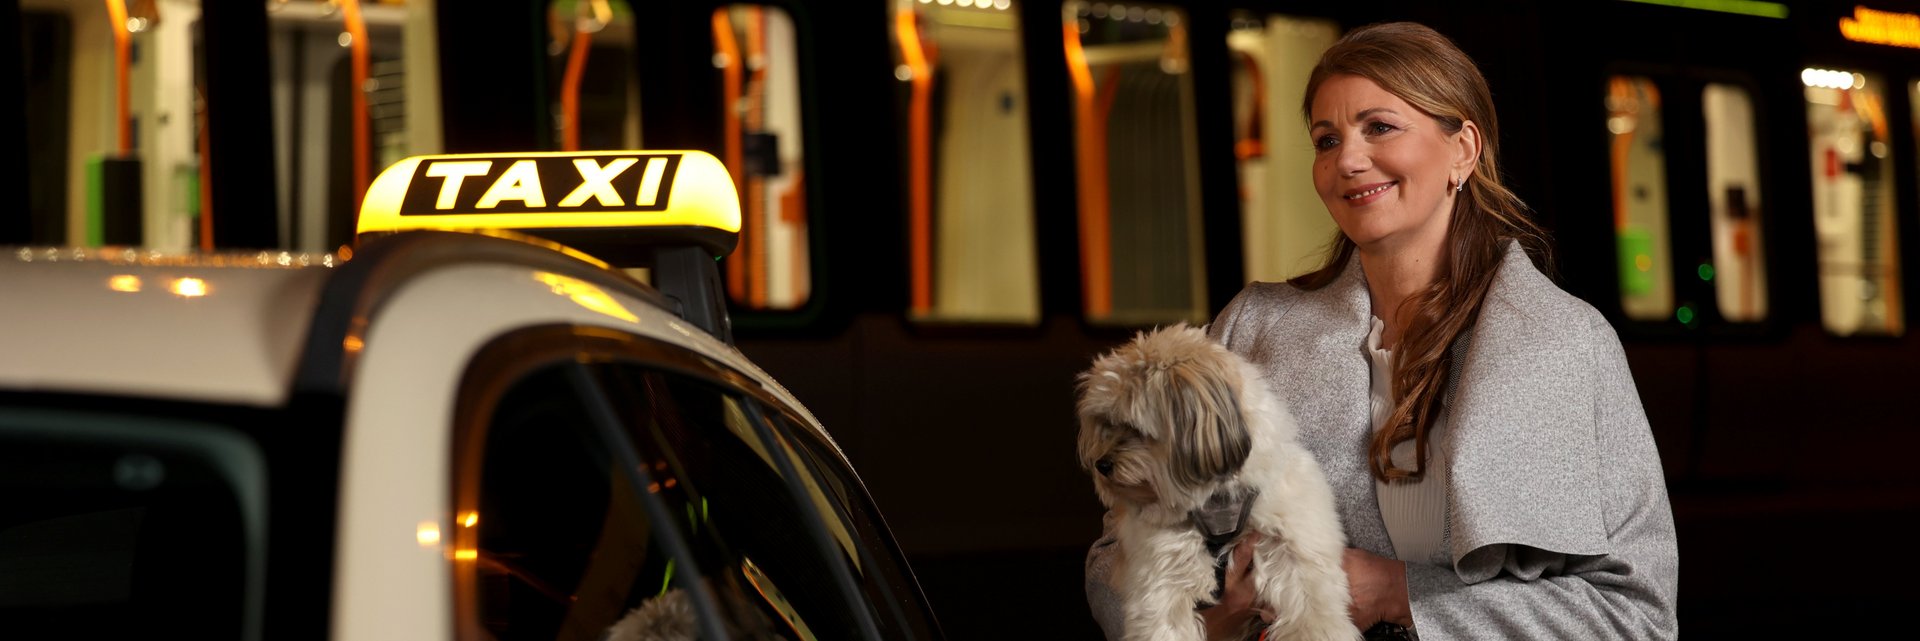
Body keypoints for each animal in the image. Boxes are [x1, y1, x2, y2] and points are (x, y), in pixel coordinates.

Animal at [1075, 326, 1359, 641]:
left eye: (1135, 429)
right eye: (1107, 425)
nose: (1101, 464)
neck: (1215, 499)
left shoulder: (1294, 545)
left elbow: (1311, 609)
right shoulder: (1162, 575)